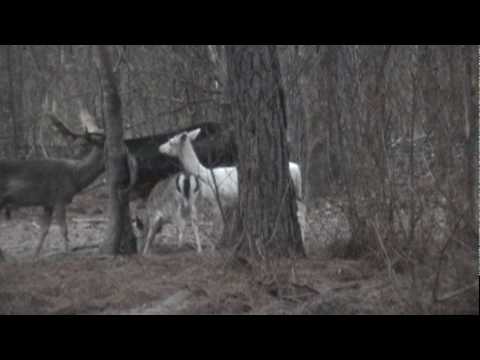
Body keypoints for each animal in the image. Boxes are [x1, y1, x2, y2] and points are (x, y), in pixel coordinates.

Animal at [0, 108, 105, 258]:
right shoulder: (59, 198)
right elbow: (63, 228)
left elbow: (44, 229)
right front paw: (67, 251)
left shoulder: (48, 203)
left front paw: (35, 254)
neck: (75, 177)